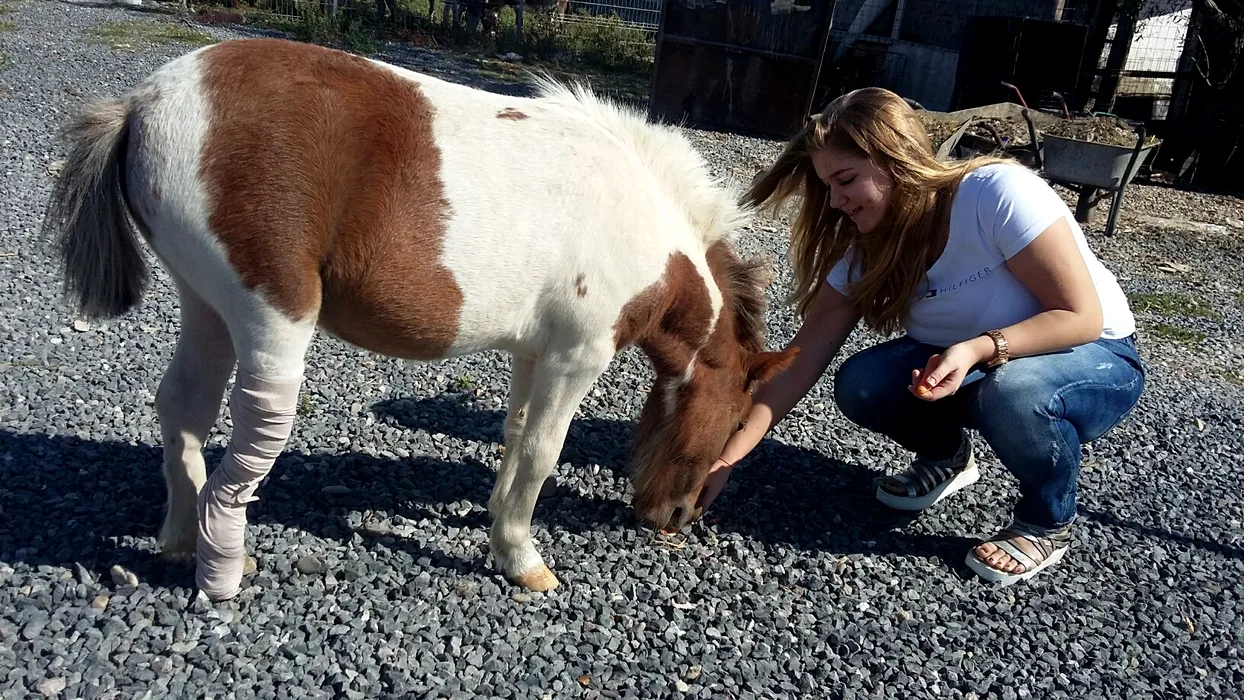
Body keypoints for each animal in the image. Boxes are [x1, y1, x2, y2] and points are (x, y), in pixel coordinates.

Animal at [41, 37, 799, 602]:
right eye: (738, 421)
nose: (678, 519)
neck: (638, 219)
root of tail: (144, 103)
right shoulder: (577, 355)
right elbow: (542, 452)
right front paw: (523, 560)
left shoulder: (534, 352)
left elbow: (514, 434)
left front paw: (495, 523)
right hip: (269, 317)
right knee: (250, 426)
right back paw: (222, 573)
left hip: (206, 308)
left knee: (183, 409)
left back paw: (180, 539)